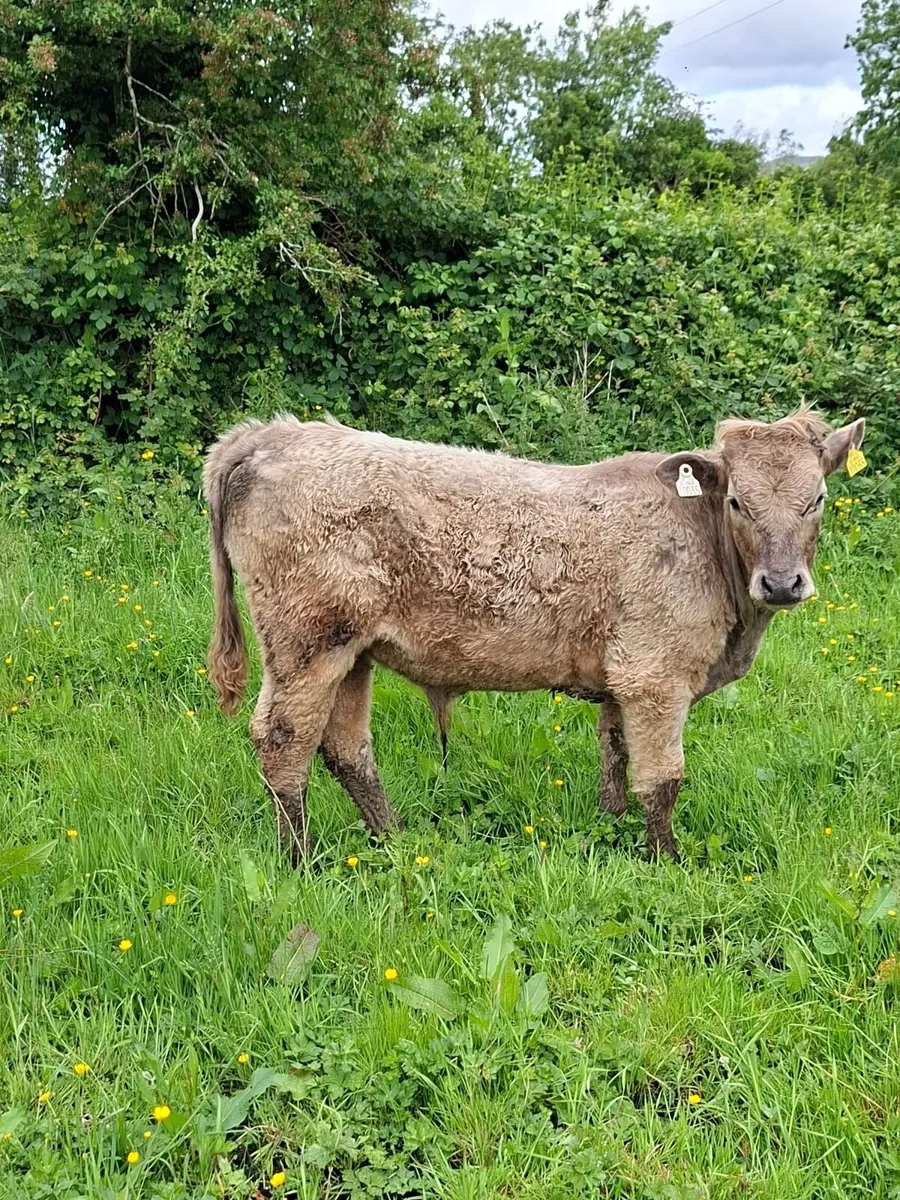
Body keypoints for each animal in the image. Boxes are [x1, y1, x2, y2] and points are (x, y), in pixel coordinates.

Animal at [204, 408, 865, 863]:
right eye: (736, 502)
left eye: (818, 498)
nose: (781, 583)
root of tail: (269, 435)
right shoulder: (656, 676)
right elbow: (662, 780)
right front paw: (668, 862)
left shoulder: (622, 679)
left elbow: (615, 756)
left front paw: (611, 830)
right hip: (306, 641)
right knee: (283, 739)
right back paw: (301, 860)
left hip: (352, 649)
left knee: (346, 748)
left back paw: (394, 839)